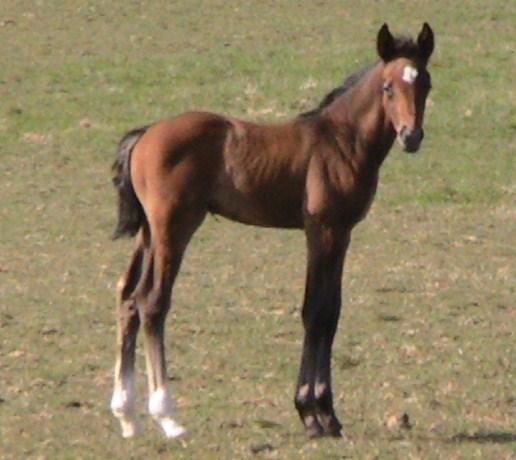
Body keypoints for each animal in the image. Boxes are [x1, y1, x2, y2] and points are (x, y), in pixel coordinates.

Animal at [110, 22, 436, 438]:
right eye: (387, 87)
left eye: (425, 82)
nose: (411, 136)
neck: (342, 140)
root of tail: (146, 133)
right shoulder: (322, 230)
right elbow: (315, 311)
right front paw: (313, 413)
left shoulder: (343, 233)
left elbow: (332, 311)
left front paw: (327, 414)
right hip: (174, 228)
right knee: (152, 302)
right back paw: (167, 417)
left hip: (148, 233)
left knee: (128, 297)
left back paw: (126, 415)